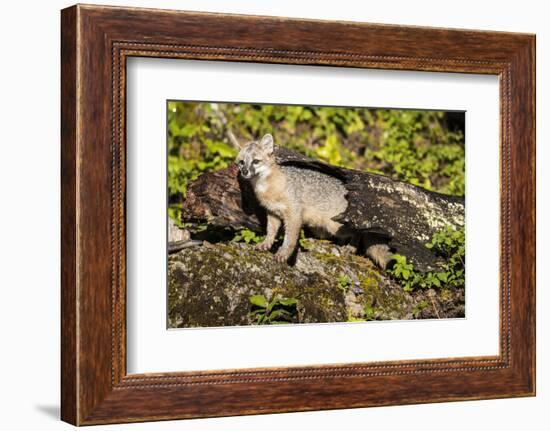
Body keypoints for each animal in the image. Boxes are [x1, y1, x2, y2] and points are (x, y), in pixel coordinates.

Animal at [231, 132, 352, 264]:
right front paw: (266, 243)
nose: (245, 171)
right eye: (242, 162)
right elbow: (270, 231)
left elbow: (289, 239)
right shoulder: (273, 212)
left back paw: (350, 248)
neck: (267, 187)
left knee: (357, 234)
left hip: (334, 226)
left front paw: (284, 254)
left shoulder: (294, 215)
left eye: (256, 161)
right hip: (319, 228)